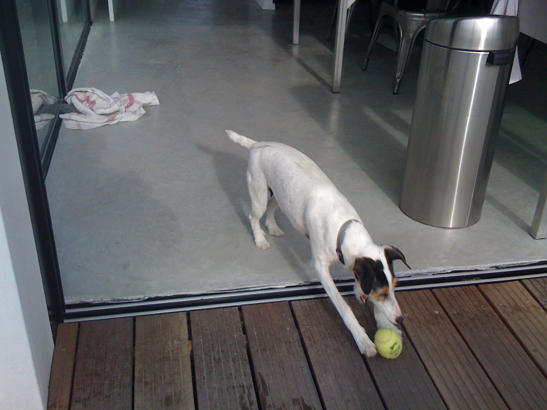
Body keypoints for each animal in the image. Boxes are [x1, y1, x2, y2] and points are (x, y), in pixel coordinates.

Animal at [227, 131, 412, 356]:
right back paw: (260, 239)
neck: (343, 230)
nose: (401, 319)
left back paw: (273, 228)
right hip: (259, 194)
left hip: (280, 196)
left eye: (395, 287)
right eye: (383, 293)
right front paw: (363, 340)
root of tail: (258, 144)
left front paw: (384, 322)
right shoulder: (321, 268)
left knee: (271, 209)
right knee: (254, 216)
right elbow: (344, 308)